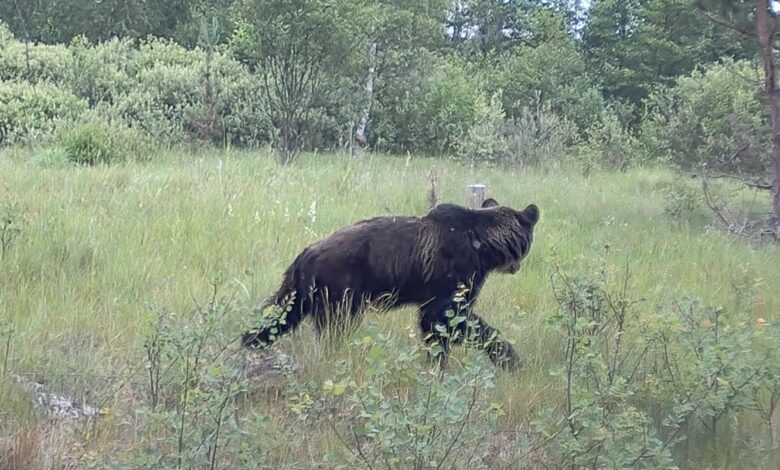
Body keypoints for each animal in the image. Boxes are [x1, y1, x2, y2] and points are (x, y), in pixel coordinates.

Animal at [241, 196, 540, 370]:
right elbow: (445, 318)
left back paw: (248, 343)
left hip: (300, 290)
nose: (516, 267)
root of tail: (306, 254)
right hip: (340, 288)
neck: (482, 246)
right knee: (334, 325)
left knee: (277, 315)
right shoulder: (454, 273)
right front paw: (508, 357)